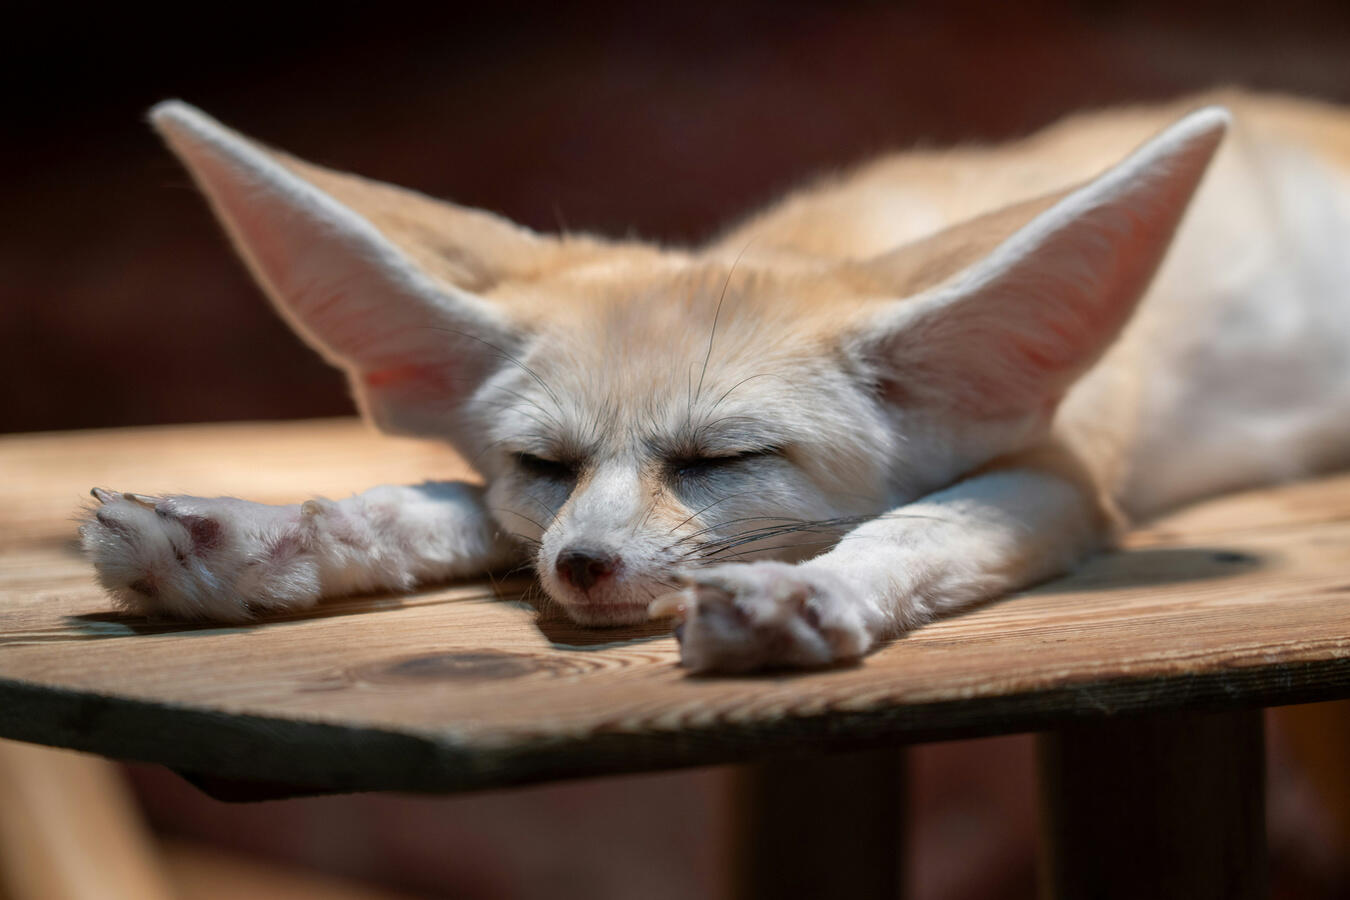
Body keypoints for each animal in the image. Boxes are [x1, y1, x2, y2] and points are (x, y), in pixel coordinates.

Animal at [81, 91, 1350, 673]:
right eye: (542, 464)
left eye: (724, 460)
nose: (584, 568)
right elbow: (442, 504)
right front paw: (244, 538)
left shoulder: (1068, 472)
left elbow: (918, 528)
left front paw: (808, 595)